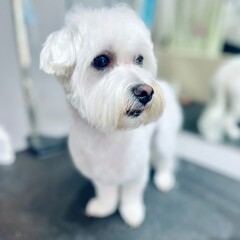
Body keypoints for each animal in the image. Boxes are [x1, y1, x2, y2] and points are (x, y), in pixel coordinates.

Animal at [39, 5, 182, 227]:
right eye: (101, 60)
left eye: (139, 59)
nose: (146, 92)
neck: (107, 136)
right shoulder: (99, 172)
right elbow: (105, 191)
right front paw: (104, 206)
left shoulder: (136, 171)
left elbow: (131, 193)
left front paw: (131, 212)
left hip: (163, 137)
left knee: (165, 158)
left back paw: (164, 179)